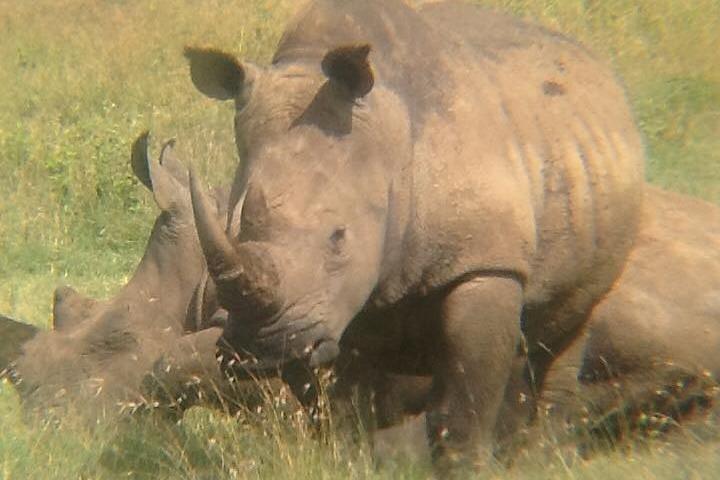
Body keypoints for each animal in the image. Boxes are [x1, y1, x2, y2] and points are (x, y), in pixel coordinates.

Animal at [184, 0, 645, 465]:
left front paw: (465, 466)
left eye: (338, 237)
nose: (258, 351)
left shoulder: (486, 263)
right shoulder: (322, 312)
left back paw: (541, 459)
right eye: (231, 227)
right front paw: (349, 462)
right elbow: (339, 408)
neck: (389, 140)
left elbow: (463, 405)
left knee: (566, 328)